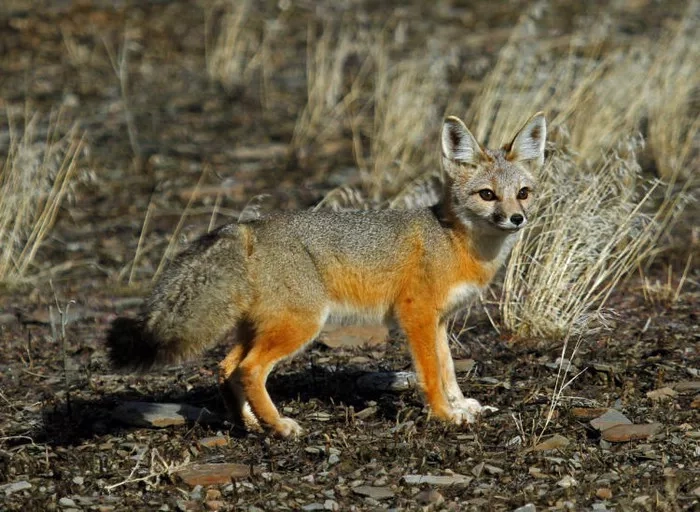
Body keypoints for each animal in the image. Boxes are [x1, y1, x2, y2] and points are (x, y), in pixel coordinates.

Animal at [107, 112, 546, 438]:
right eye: (487, 195)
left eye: (523, 193)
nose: (516, 219)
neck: (455, 241)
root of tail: (248, 227)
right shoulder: (416, 315)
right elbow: (431, 374)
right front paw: (443, 414)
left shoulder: (438, 321)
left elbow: (448, 367)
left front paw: (461, 404)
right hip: (302, 325)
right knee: (249, 370)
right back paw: (280, 426)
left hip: (262, 327)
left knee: (228, 367)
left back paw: (250, 424)